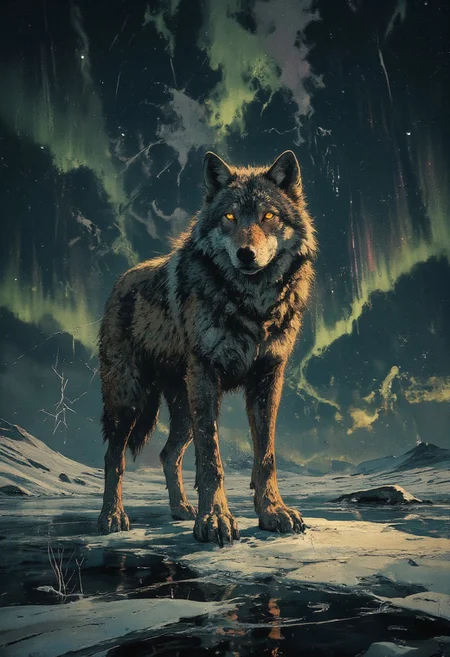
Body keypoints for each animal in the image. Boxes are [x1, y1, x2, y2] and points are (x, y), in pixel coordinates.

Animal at [98, 150, 317, 546]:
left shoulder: (268, 377)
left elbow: (266, 456)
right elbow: (212, 459)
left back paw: (181, 509)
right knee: (113, 458)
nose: (246, 254)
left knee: (168, 454)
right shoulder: (206, 374)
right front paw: (215, 519)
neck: (252, 306)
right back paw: (112, 517)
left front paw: (272, 512)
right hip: (131, 401)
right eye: (229, 217)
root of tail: (120, 281)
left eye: (268, 217)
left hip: (183, 409)